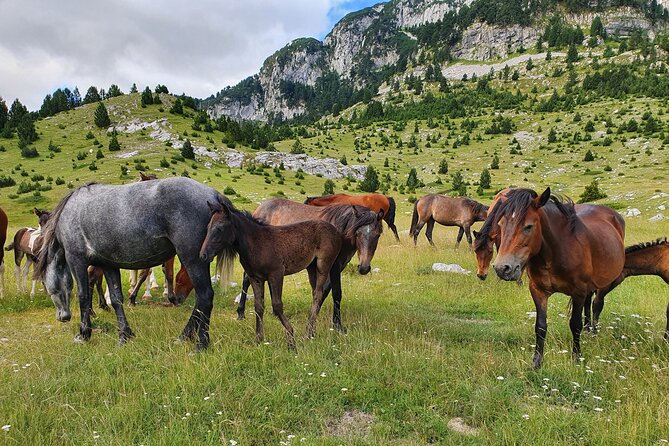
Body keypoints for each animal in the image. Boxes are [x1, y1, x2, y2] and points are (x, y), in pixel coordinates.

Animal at [36, 177, 236, 348]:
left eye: (44, 283)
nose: (62, 317)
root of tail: (213, 195)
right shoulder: (108, 264)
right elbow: (116, 299)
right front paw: (124, 335)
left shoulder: (76, 261)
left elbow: (83, 296)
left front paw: (84, 334)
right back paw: (184, 337)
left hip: (192, 259)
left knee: (205, 297)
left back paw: (200, 342)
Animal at [198, 197, 342, 350]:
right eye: (207, 228)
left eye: (219, 228)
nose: (203, 255)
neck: (257, 243)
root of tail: (336, 231)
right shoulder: (255, 278)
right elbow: (258, 306)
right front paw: (259, 339)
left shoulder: (276, 275)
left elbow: (277, 305)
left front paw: (291, 339)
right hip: (311, 267)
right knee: (316, 293)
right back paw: (312, 331)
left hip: (323, 265)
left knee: (318, 294)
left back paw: (308, 333)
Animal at [488, 188, 624, 370]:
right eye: (501, 225)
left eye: (528, 226)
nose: (502, 268)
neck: (554, 252)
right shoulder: (538, 291)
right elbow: (540, 326)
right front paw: (537, 362)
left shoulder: (578, 292)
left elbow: (575, 325)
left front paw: (576, 358)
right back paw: (588, 330)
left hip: (603, 284)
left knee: (597, 305)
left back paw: (593, 331)